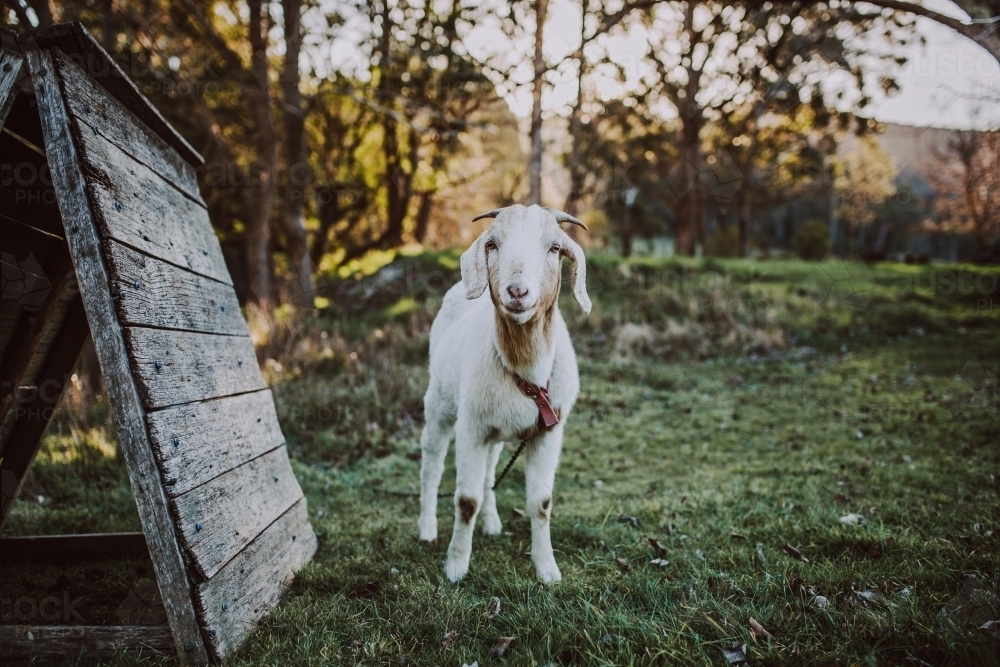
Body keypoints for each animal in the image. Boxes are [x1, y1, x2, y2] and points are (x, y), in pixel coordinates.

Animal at [416, 205, 588, 584]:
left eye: (556, 247)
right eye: (492, 244)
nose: (517, 291)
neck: (525, 369)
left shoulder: (548, 433)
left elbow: (541, 502)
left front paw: (547, 569)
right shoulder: (470, 429)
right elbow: (466, 500)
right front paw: (456, 567)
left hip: (494, 431)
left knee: (489, 471)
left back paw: (492, 522)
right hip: (439, 406)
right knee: (431, 464)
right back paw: (426, 528)